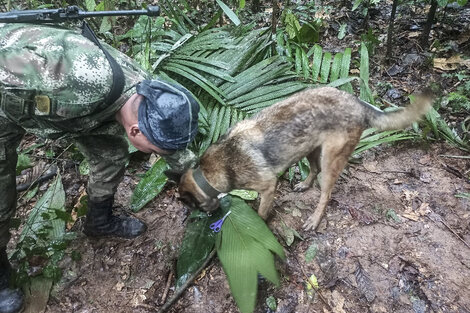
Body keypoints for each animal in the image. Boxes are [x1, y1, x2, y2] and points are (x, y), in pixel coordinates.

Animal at [175, 86, 430, 230]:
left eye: (193, 206)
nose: (209, 216)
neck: (209, 172)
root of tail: (358, 103)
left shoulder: (268, 187)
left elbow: (261, 212)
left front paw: (259, 225)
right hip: (310, 148)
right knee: (314, 170)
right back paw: (304, 185)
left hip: (330, 160)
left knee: (326, 193)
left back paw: (315, 219)